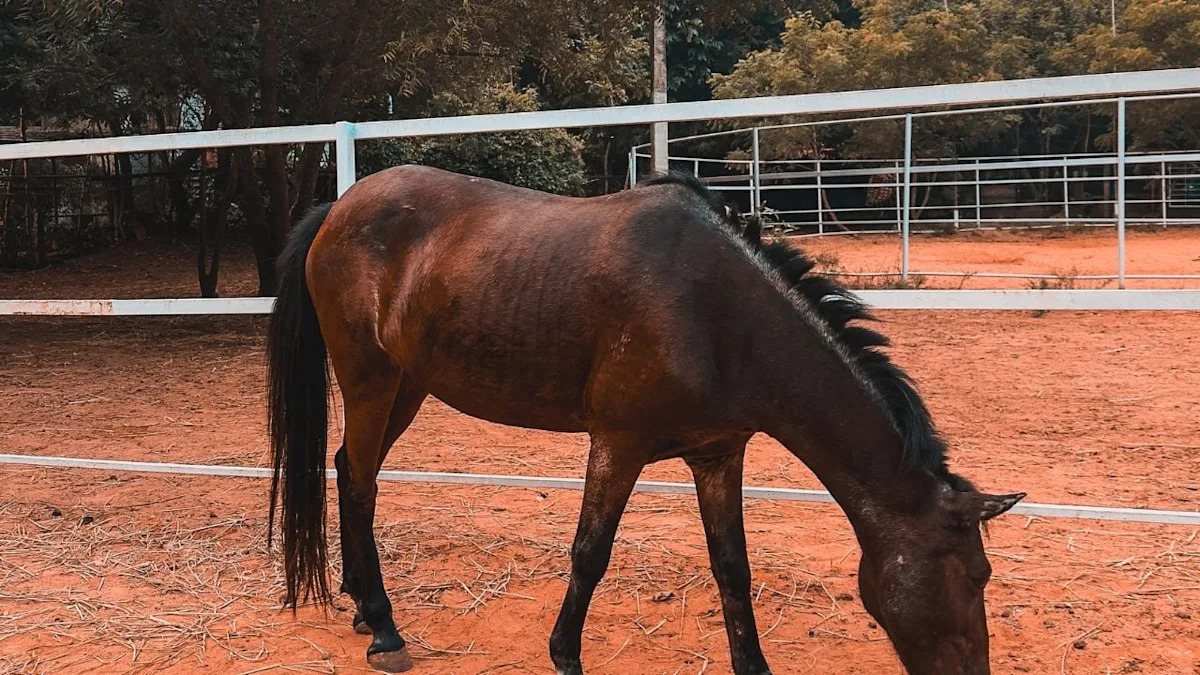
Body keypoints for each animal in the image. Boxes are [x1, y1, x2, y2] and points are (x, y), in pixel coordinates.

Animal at [266, 166, 1024, 674]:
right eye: (975, 575)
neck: (720, 314)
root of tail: (338, 207)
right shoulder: (618, 443)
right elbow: (590, 553)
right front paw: (564, 655)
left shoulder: (718, 455)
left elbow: (732, 566)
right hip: (370, 380)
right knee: (358, 479)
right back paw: (385, 630)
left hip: (406, 388)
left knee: (348, 469)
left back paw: (361, 603)